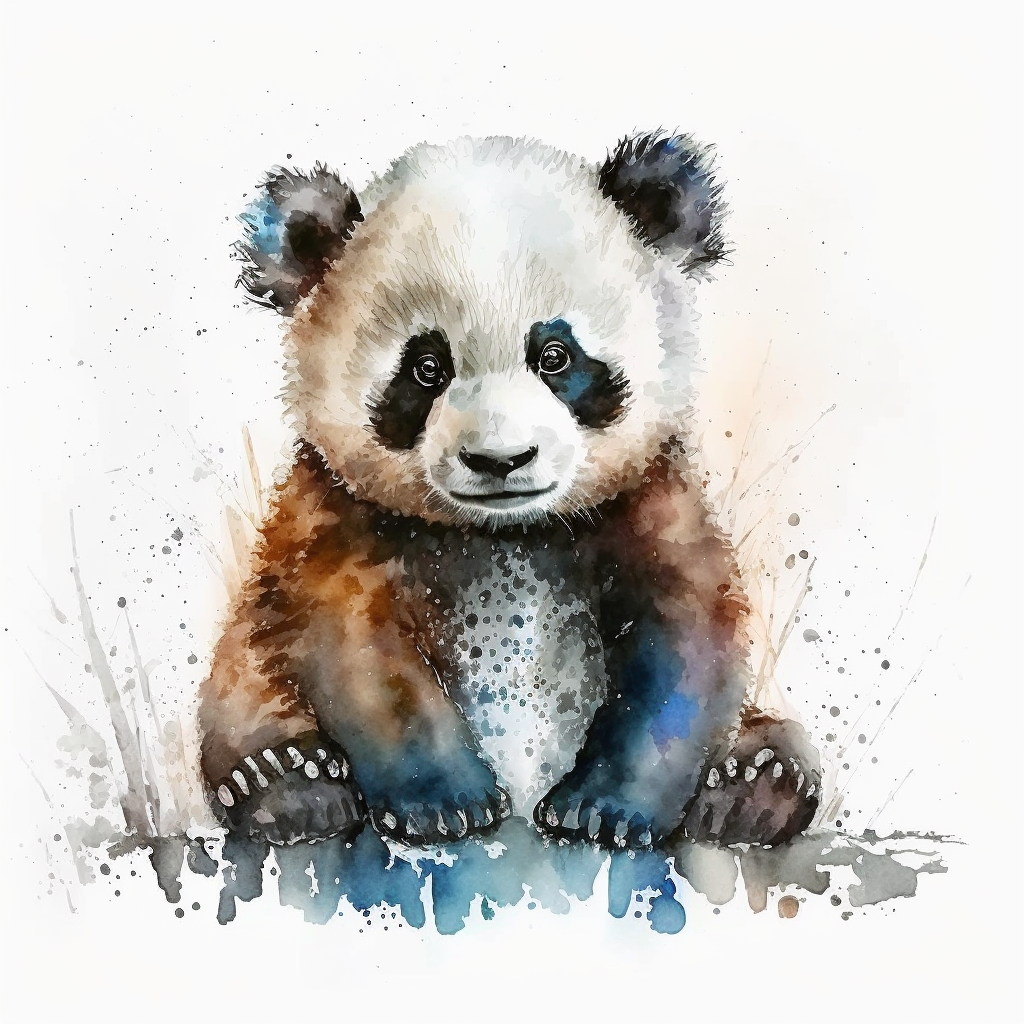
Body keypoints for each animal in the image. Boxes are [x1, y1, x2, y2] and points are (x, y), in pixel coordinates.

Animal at [198, 132, 821, 852]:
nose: (499, 460)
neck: (506, 534)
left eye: (555, 356)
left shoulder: (648, 499)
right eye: (426, 368)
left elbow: (686, 636)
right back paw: (288, 783)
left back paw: (755, 783)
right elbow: (355, 645)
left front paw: (603, 811)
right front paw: (445, 803)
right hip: (246, 673)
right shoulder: (336, 515)